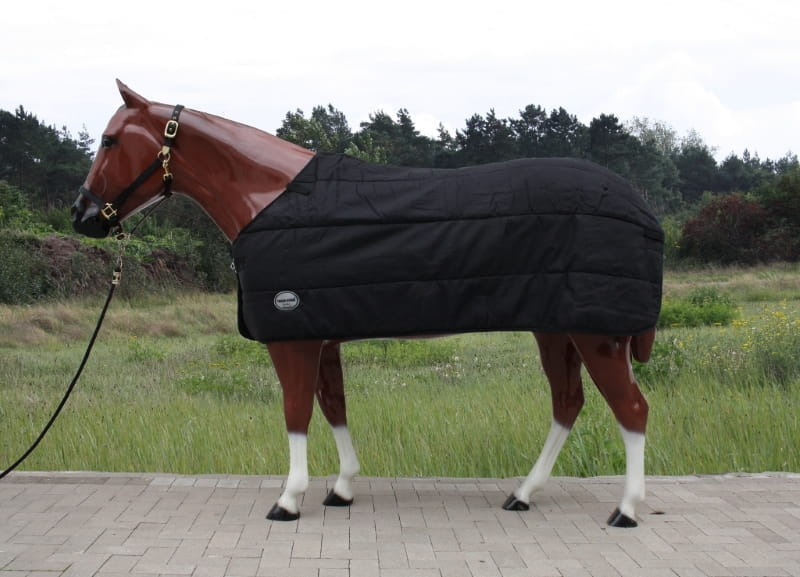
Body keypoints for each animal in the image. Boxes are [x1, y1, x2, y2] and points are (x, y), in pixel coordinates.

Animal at [72, 80, 661, 528]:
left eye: (109, 140)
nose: (82, 215)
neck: (269, 197)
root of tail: (641, 206)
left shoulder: (293, 338)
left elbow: (295, 413)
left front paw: (289, 500)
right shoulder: (322, 334)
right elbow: (334, 407)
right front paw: (342, 488)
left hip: (596, 334)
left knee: (631, 409)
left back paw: (626, 510)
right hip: (557, 329)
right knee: (568, 404)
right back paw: (523, 494)